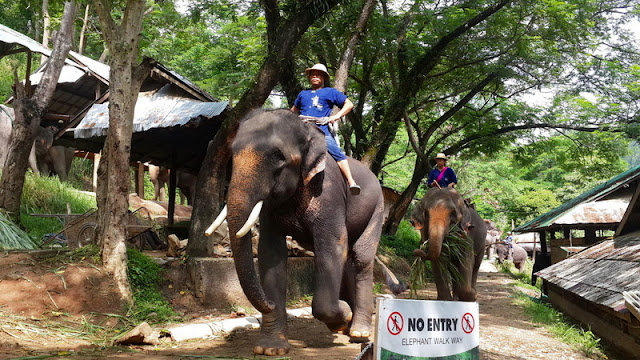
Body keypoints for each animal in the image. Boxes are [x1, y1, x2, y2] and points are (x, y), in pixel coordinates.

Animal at [205, 108, 384, 356]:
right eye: (232, 154)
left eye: (278, 156)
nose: (268, 304)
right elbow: (270, 252)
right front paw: (270, 349)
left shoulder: (328, 193)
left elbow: (333, 244)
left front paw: (342, 316)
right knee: (349, 258)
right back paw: (350, 327)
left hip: (378, 209)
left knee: (361, 258)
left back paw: (358, 331)